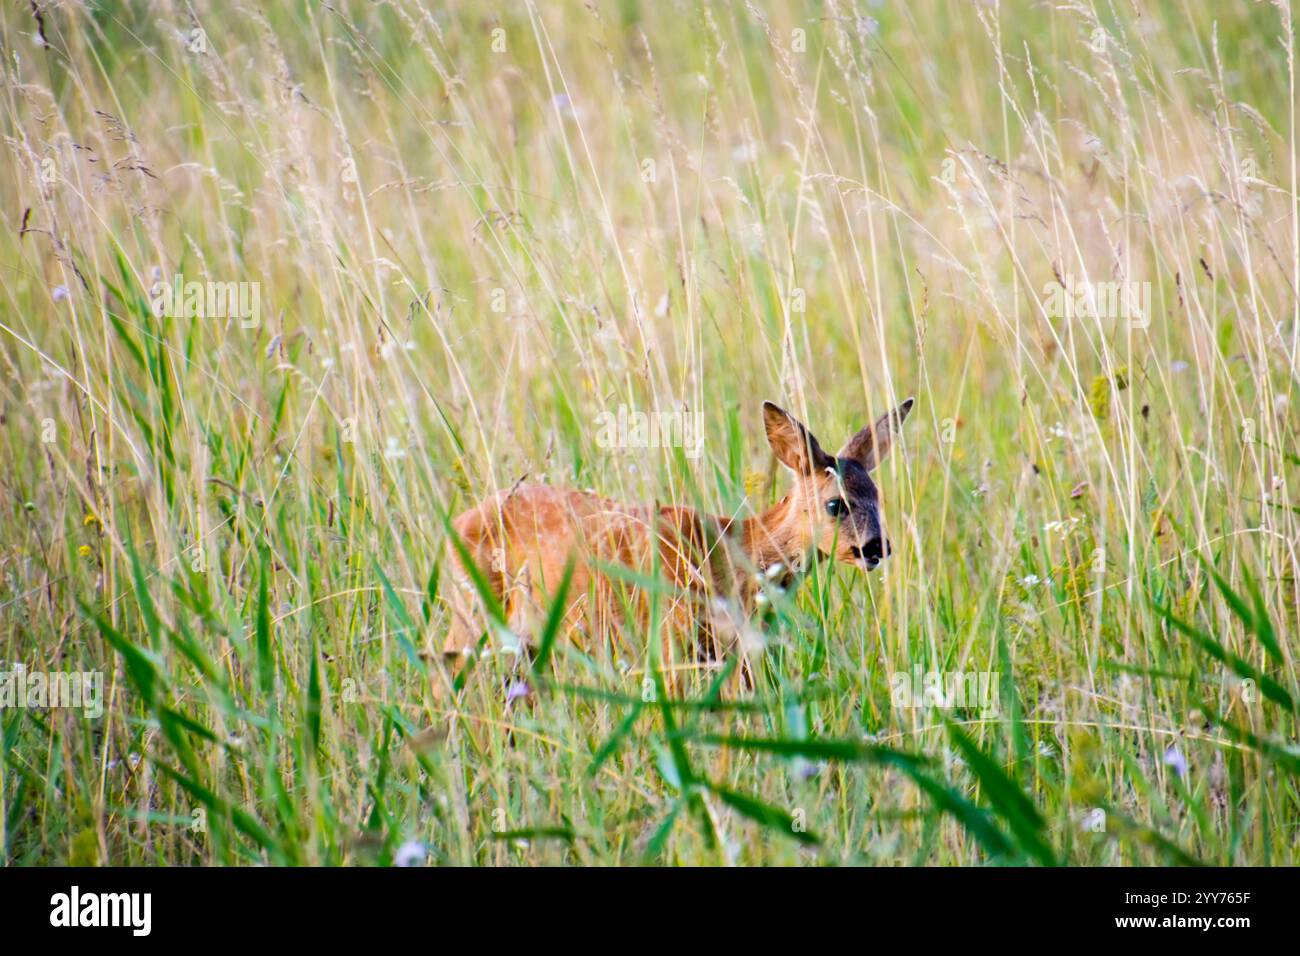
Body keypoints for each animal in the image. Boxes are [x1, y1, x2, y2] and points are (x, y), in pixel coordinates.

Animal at [440, 398, 914, 680]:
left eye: (877, 496)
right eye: (836, 504)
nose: (877, 548)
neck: (735, 555)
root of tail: (455, 524)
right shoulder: (671, 637)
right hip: (473, 613)